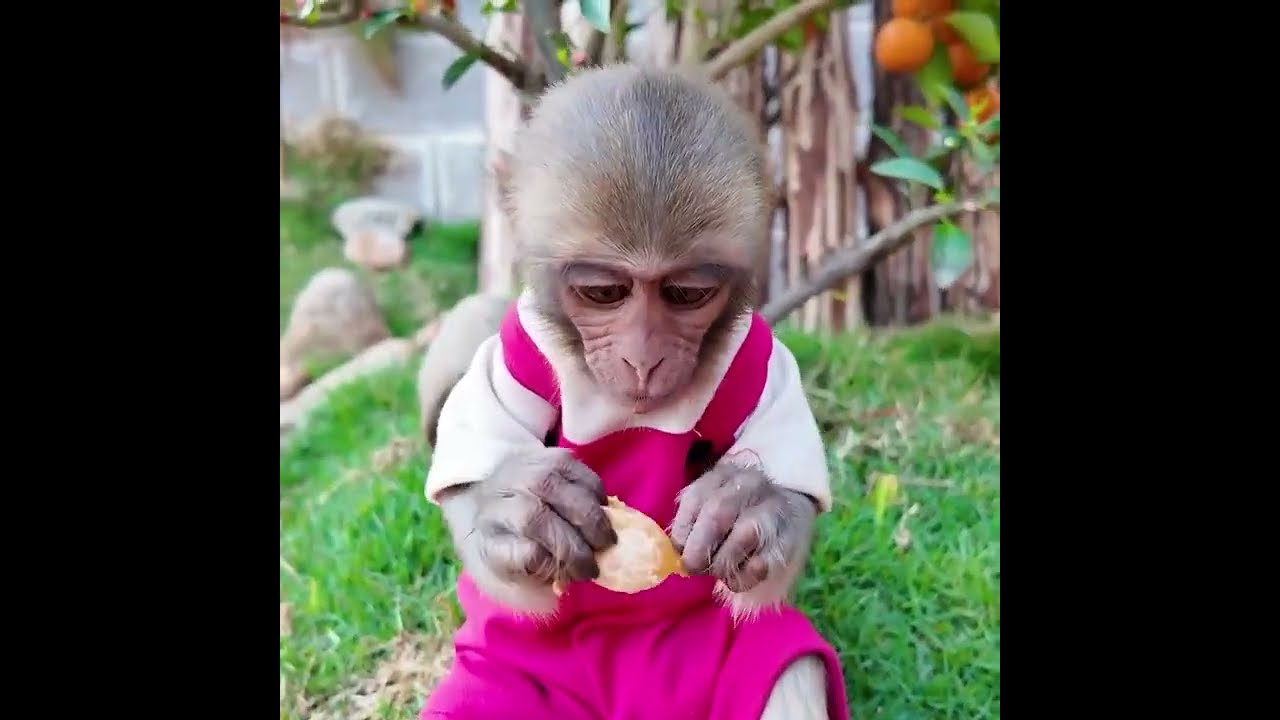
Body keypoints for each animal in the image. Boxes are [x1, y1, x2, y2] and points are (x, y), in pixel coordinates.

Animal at [420, 65, 849, 720]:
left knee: (788, 667)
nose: (643, 360)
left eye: (688, 293)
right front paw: (520, 509)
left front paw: (749, 506)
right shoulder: (514, 349)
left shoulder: (764, 357)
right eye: (603, 292)